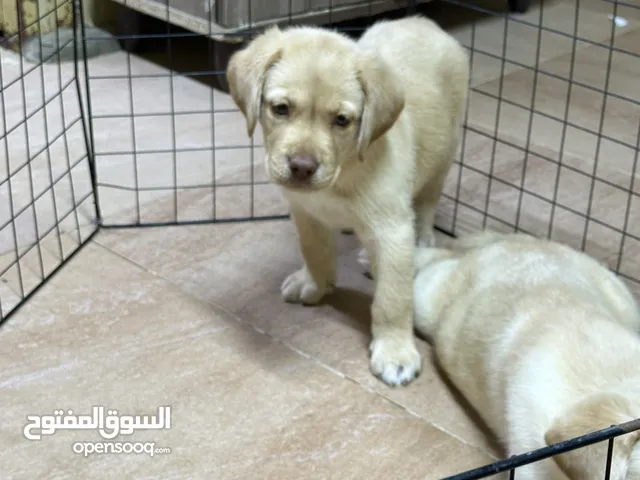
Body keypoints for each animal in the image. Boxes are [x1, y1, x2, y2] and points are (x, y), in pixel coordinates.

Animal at [228, 14, 468, 386]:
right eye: (281, 109)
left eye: (341, 120)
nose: (302, 167)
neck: (343, 173)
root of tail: (422, 21)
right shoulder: (305, 213)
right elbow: (314, 251)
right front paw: (314, 283)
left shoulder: (391, 229)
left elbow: (392, 299)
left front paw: (395, 352)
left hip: (444, 154)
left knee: (427, 201)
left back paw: (421, 238)